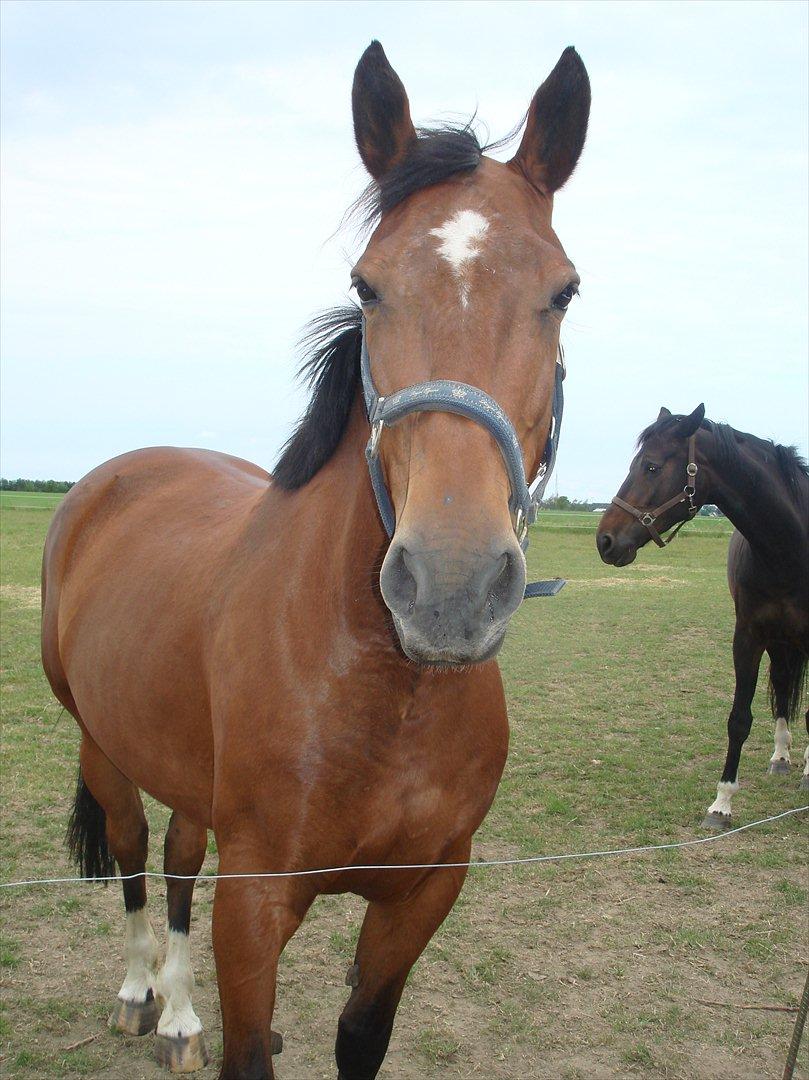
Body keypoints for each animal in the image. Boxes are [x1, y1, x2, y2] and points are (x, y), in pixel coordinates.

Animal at [41, 42, 591, 1080]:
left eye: (563, 289)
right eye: (367, 285)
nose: (449, 588)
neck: (381, 688)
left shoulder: (421, 892)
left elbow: (359, 1039)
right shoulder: (257, 901)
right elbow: (250, 1047)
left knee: (179, 856)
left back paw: (179, 1014)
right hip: (101, 739)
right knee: (133, 850)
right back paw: (140, 995)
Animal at [596, 408, 803, 829]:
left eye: (652, 466)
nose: (604, 540)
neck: (790, 545)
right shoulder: (750, 636)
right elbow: (739, 719)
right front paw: (721, 803)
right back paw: (781, 757)